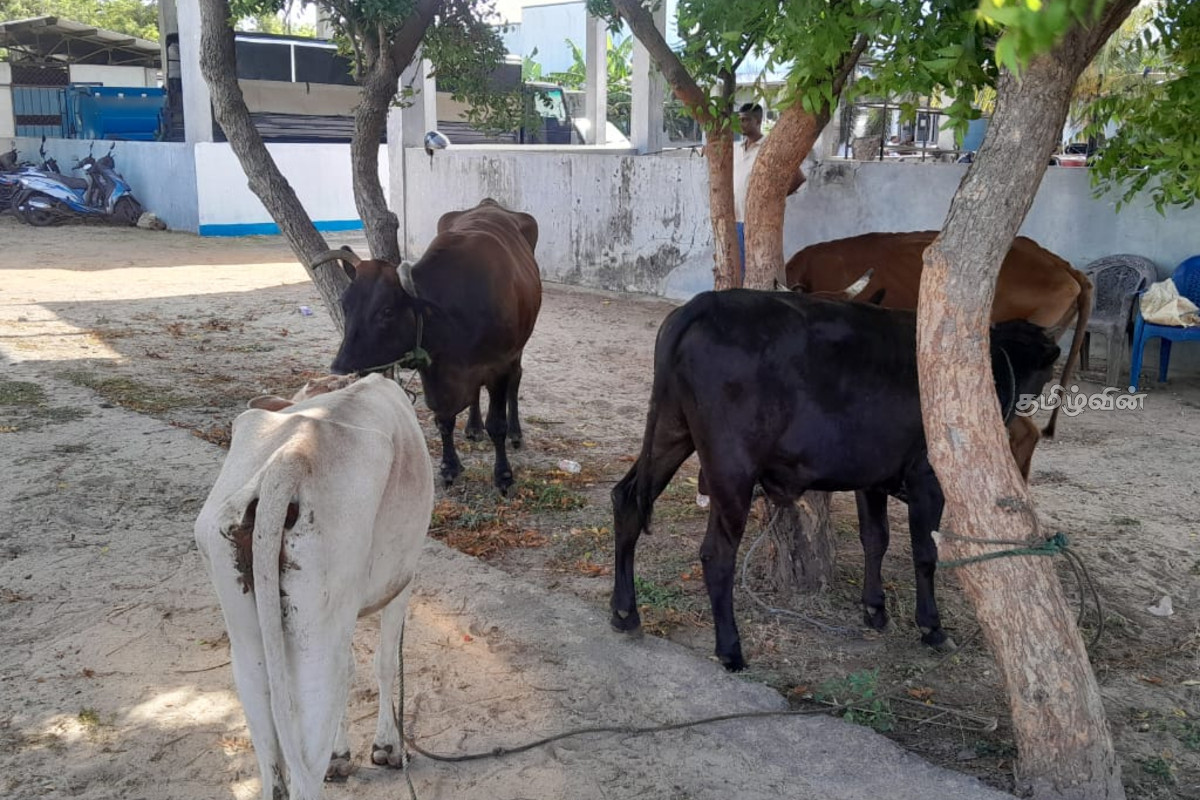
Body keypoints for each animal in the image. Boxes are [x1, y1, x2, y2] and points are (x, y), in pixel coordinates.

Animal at [194, 372, 434, 800]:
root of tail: (290, 460)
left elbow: (355, 669)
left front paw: (343, 754)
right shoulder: (401, 582)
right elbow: (385, 663)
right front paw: (388, 746)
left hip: (249, 639)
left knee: (274, 768)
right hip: (319, 636)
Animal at [312, 198, 542, 495]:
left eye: (387, 310)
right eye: (345, 304)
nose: (339, 369)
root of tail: (489, 204)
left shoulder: (499, 366)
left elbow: (497, 425)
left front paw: (503, 475)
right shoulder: (433, 369)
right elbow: (443, 420)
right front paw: (449, 467)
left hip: (518, 349)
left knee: (516, 379)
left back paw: (515, 432)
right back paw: (473, 427)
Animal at [610, 290, 1061, 672]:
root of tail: (701, 305)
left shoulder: (872, 478)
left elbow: (875, 539)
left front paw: (874, 609)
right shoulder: (928, 479)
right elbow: (925, 553)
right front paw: (931, 627)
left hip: (670, 430)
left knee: (627, 500)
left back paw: (624, 613)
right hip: (730, 467)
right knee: (716, 554)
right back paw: (730, 649)